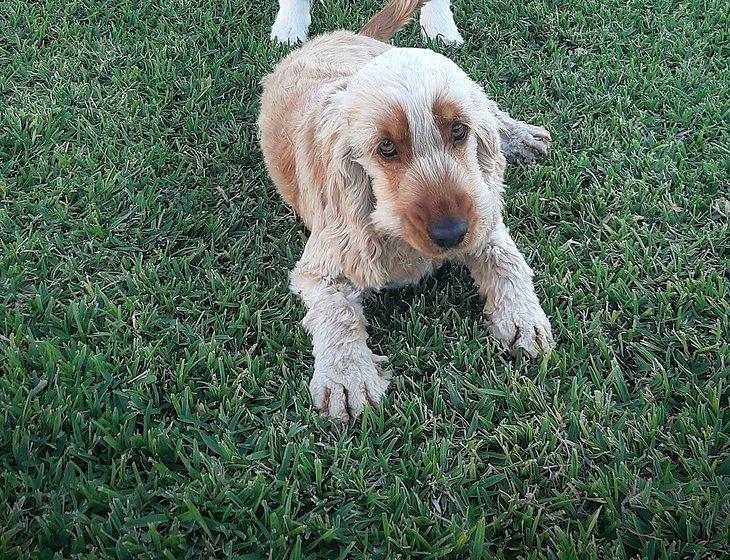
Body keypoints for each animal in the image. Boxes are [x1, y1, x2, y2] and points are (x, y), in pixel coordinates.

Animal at [258, 0, 556, 420]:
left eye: (459, 130)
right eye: (386, 147)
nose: (452, 233)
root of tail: (342, 36)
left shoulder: (483, 214)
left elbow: (505, 259)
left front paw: (522, 317)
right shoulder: (322, 265)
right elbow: (336, 310)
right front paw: (347, 376)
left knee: (490, 109)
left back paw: (520, 136)